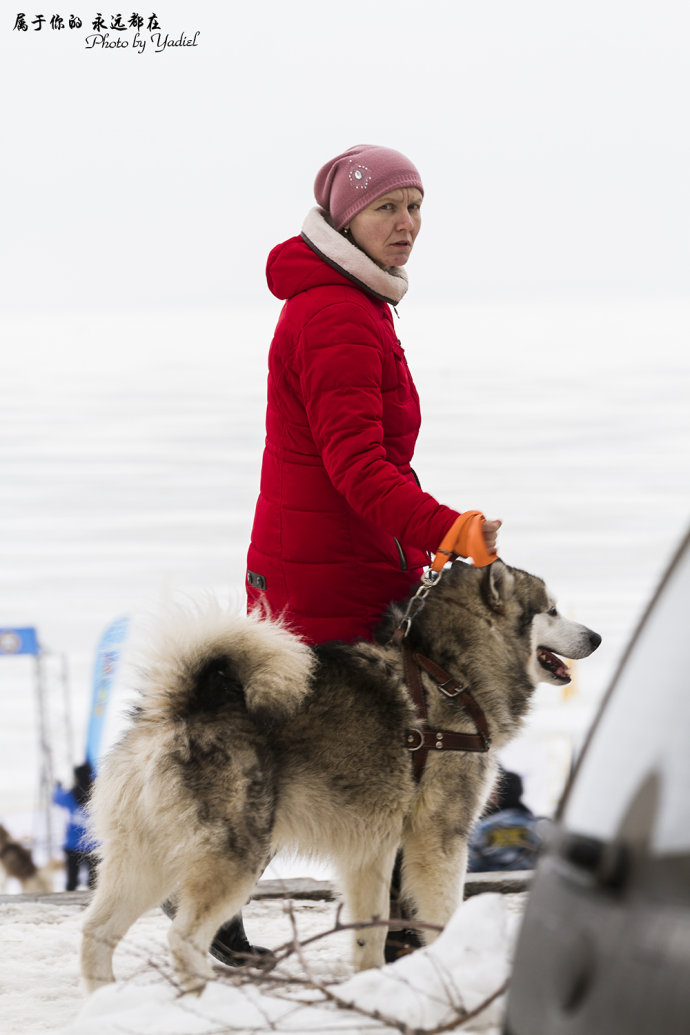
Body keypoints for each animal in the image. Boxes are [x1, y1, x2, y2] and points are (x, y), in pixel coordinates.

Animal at [79, 558, 600, 993]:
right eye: (552, 610)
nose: (595, 638)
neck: (452, 672)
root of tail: (179, 710)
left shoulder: (373, 846)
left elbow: (371, 925)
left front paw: (371, 982)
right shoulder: (439, 836)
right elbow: (443, 912)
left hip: (144, 860)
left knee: (96, 932)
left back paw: (103, 1001)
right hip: (235, 854)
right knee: (182, 939)